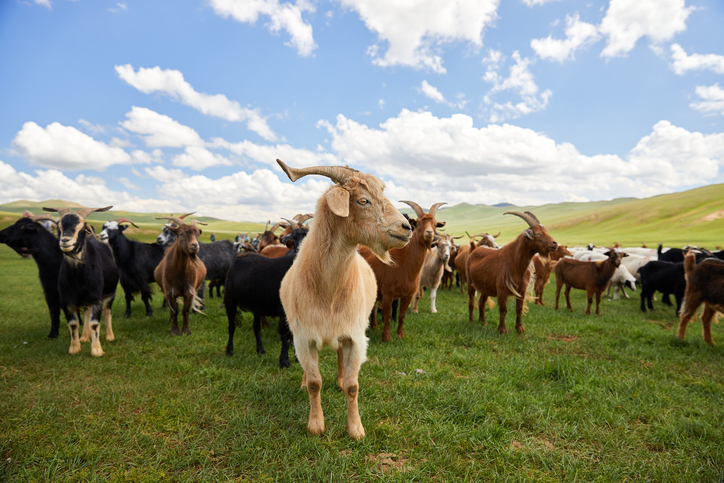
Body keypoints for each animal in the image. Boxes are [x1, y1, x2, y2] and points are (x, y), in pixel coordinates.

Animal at [43, 206, 118, 358]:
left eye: (82, 227)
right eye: (59, 226)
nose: (65, 240)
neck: (79, 277)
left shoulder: (96, 299)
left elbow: (94, 324)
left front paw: (97, 350)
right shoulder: (67, 300)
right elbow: (73, 323)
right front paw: (74, 348)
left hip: (110, 293)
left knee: (107, 311)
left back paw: (109, 335)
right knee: (87, 312)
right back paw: (84, 337)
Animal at [223, 221, 308, 368]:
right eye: (294, 239)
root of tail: (239, 257)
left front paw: (297, 358)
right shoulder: (284, 311)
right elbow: (286, 335)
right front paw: (284, 362)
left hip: (257, 304)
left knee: (256, 327)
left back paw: (260, 350)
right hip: (230, 299)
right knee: (231, 325)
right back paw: (229, 351)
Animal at [278, 161, 412, 440]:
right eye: (362, 200)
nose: (407, 228)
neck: (329, 290)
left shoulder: (355, 336)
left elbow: (353, 386)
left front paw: (356, 429)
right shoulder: (304, 337)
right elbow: (315, 382)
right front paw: (316, 425)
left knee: (339, 352)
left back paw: (339, 379)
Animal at [358, 199, 444, 342]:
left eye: (435, 224)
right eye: (418, 223)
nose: (429, 233)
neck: (404, 266)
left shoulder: (407, 295)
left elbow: (402, 315)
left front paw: (400, 335)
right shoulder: (388, 294)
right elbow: (387, 316)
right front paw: (386, 338)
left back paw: (375, 326)